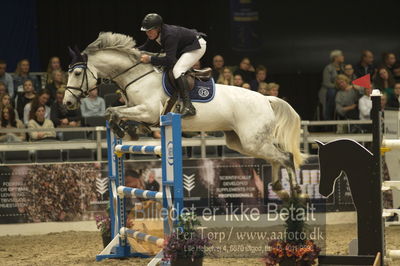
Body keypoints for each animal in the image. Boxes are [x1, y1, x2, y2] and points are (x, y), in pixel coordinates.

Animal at [64, 32, 304, 194]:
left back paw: (296, 191)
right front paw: (128, 130)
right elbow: (112, 111)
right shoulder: (136, 109)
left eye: (77, 73)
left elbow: (114, 112)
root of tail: (266, 99)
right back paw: (278, 187)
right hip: (242, 143)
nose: (67, 102)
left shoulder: (149, 111)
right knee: (275, 157)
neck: (136, 75)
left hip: (252, 140)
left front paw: (124, 131)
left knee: (285, 156)